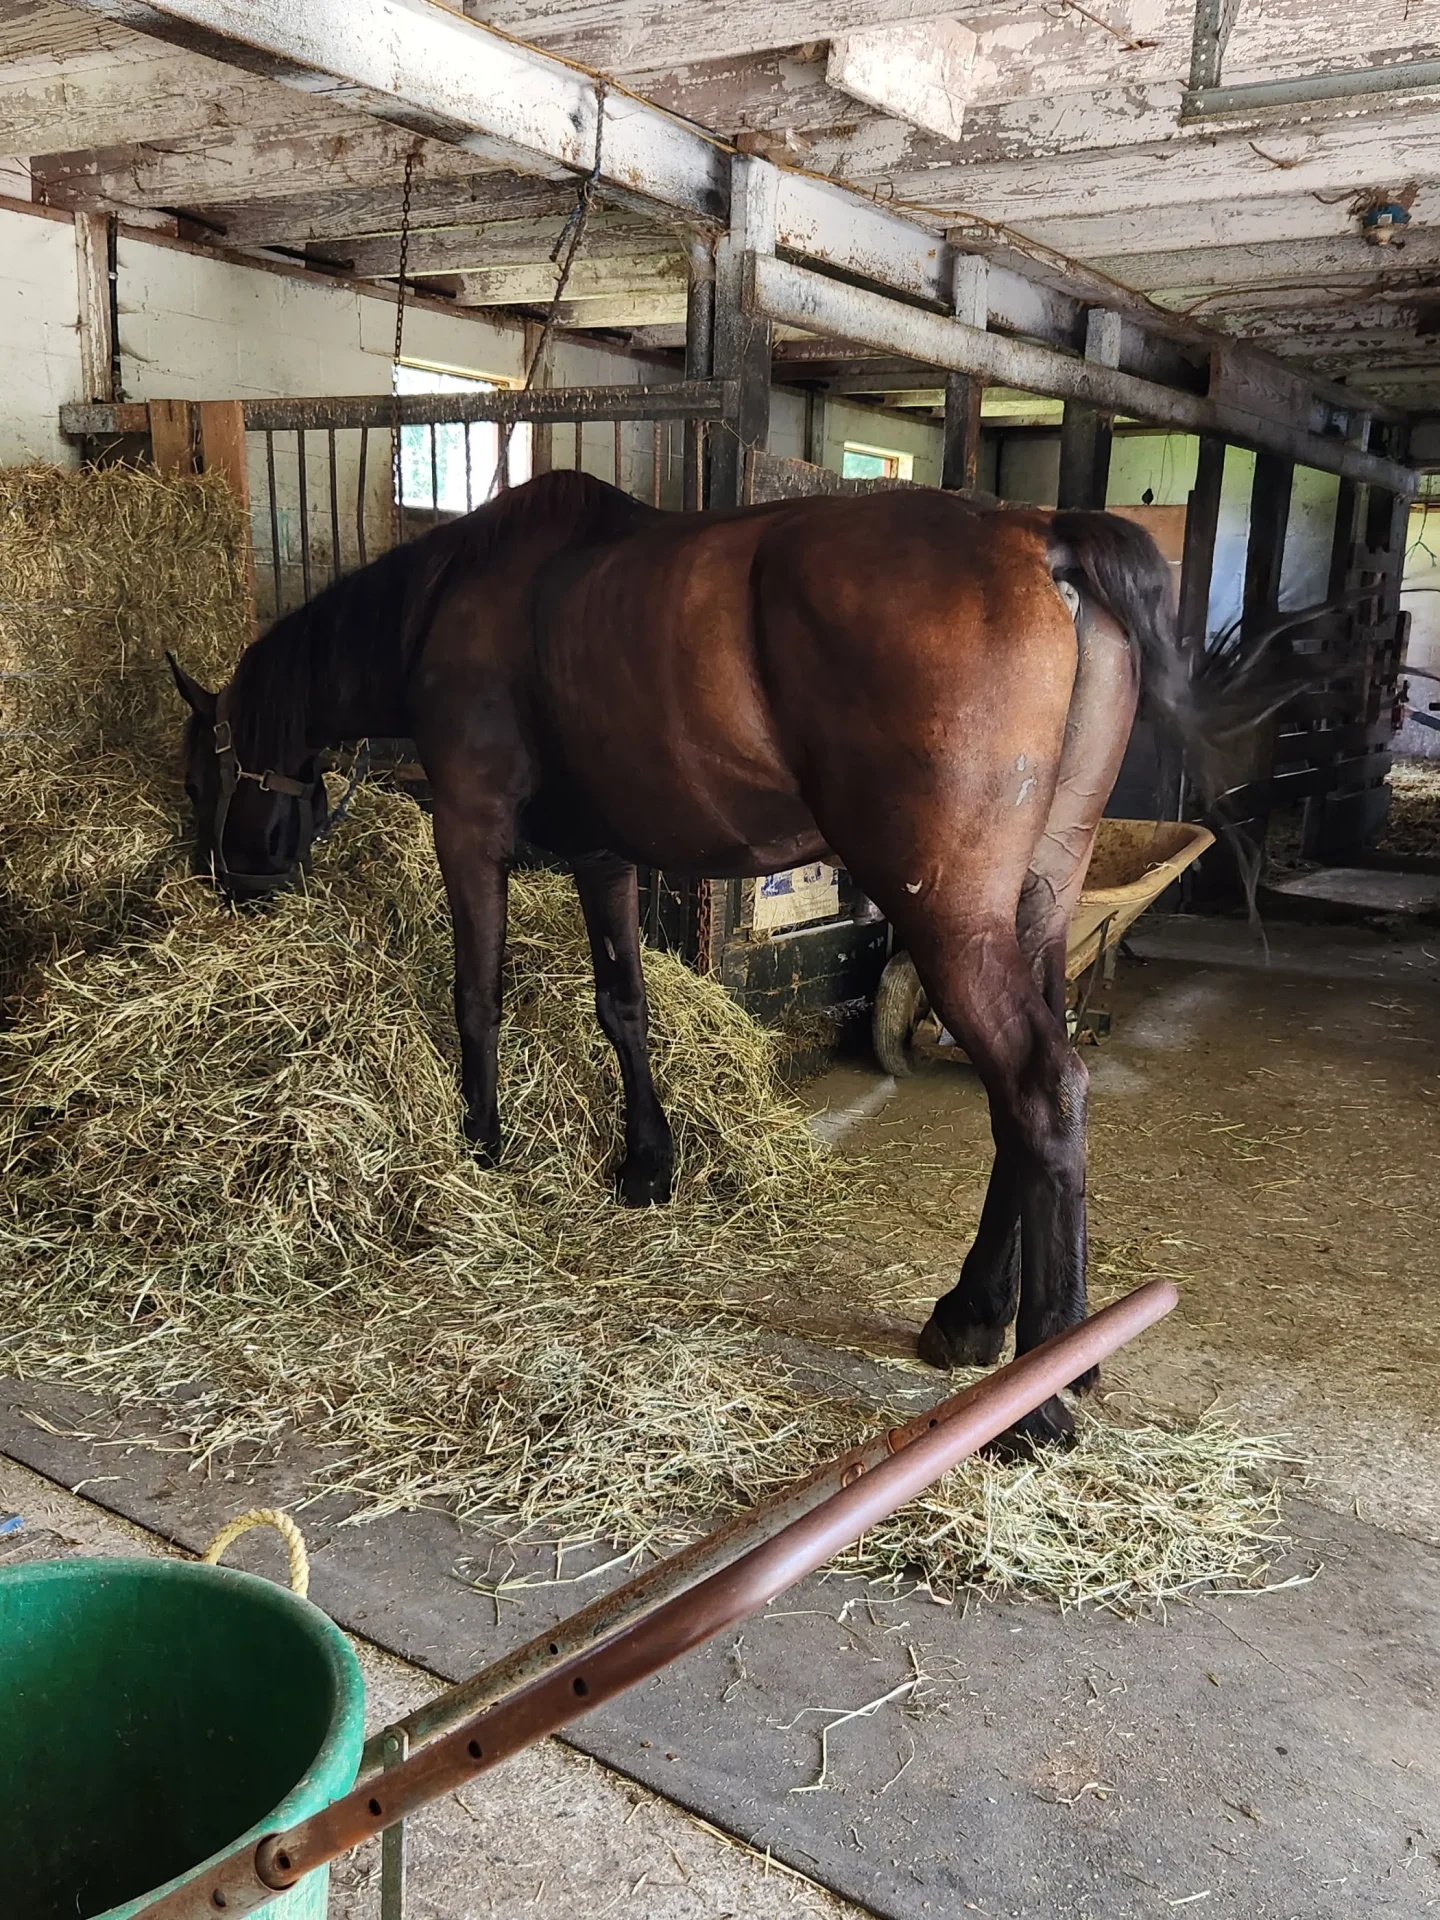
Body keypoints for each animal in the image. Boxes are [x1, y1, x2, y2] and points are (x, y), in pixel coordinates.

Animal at [171, 469, 1287, 1446]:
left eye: (199, 769)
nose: (233, 883)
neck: (452, 602)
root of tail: (1037, 536)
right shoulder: (603, 853)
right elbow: (622, 1003)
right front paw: (647, 1163)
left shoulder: (470, 832)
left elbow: (476, 994)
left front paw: (479, 1150)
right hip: (1041, 909)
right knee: (1036, 1098)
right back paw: (984, 1320)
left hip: (952, 919)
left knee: (1038, 1088)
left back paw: (1037, 1394)